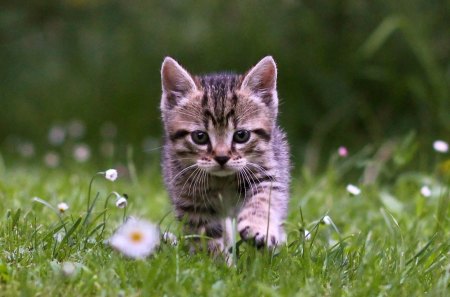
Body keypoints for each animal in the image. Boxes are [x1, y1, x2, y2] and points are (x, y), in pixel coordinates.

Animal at [160, 54, 290, 251]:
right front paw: (217, 259)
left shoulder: (267, 174)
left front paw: (258, 227)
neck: (223, 181)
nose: (222, 158)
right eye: (200, 137)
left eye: (241, 135)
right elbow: (207, 237)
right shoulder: (192, 200)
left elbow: (263, 200)